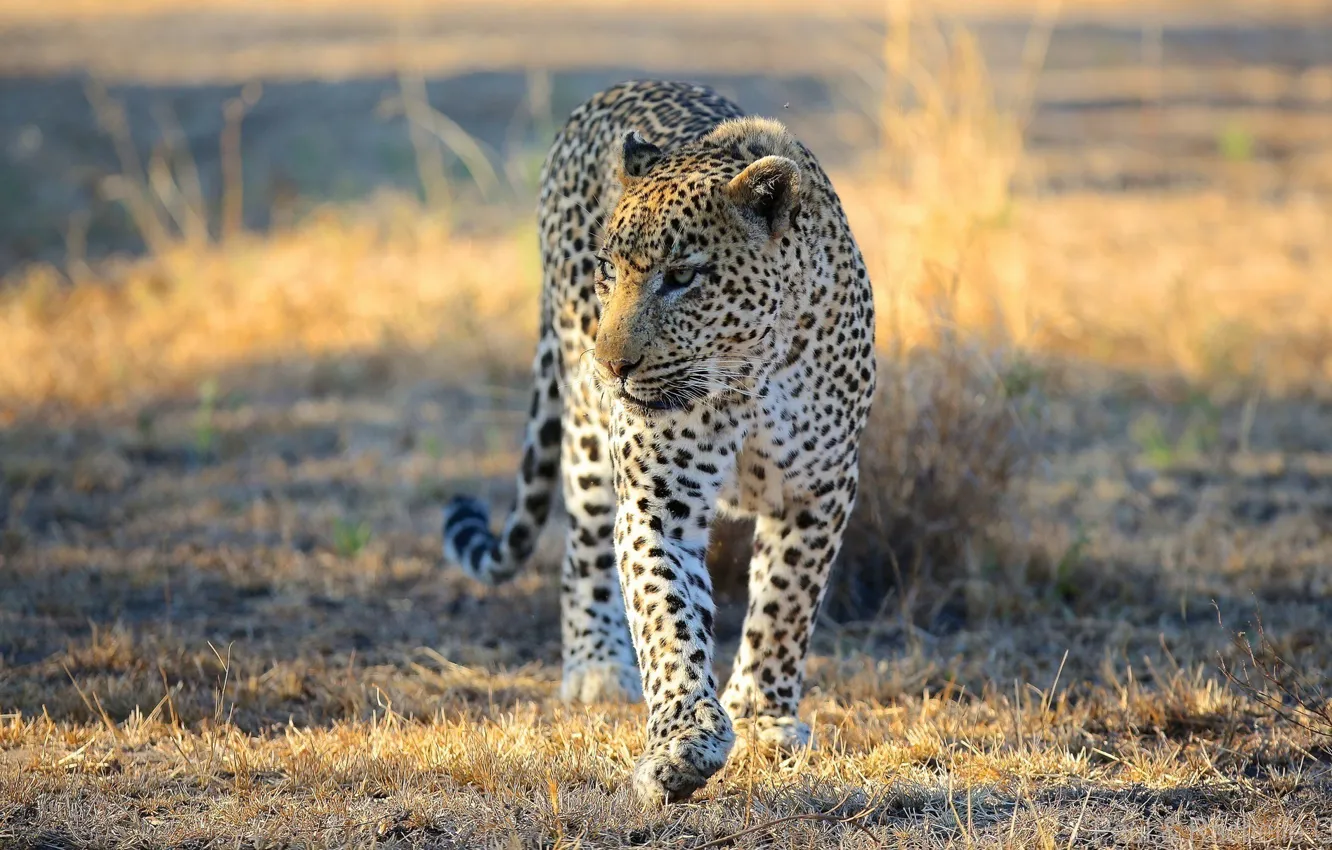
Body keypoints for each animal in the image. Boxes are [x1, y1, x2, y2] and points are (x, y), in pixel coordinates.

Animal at [442, 80, 876, 806]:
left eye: (682, 276)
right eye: (608, 271)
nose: (612, 364)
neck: (750, 372)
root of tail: (612, 91)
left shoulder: (819, 490)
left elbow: (785, 603)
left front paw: (763, 718)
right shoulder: (659, 506)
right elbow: (669, 622)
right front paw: (683, 743)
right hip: (587, 441)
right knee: (584, 553)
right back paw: (595, 667)